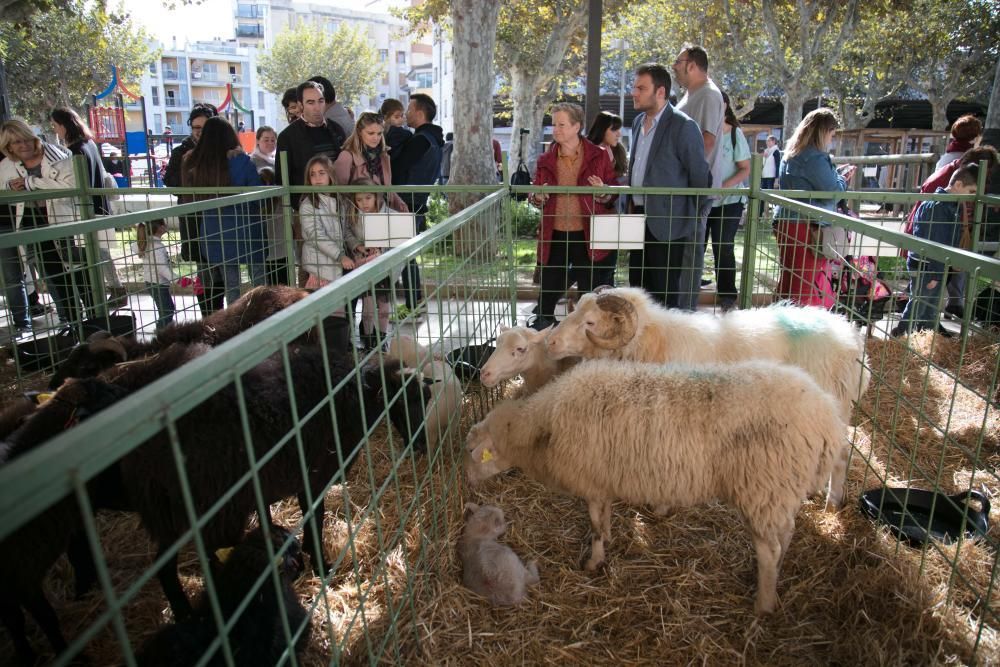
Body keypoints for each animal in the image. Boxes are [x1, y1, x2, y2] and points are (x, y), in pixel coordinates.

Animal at [464, 360, 848, 616]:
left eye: (472, 452)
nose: (467, 482)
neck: (542, 428)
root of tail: (826, 416)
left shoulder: (592, 479)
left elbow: (596, 525)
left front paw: (594, 561)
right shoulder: (602, 479)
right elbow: (604, 518)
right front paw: (607, 545)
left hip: (762, 485)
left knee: (769, 549)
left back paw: (763, 603)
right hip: (779, 491)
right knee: (785, 534)